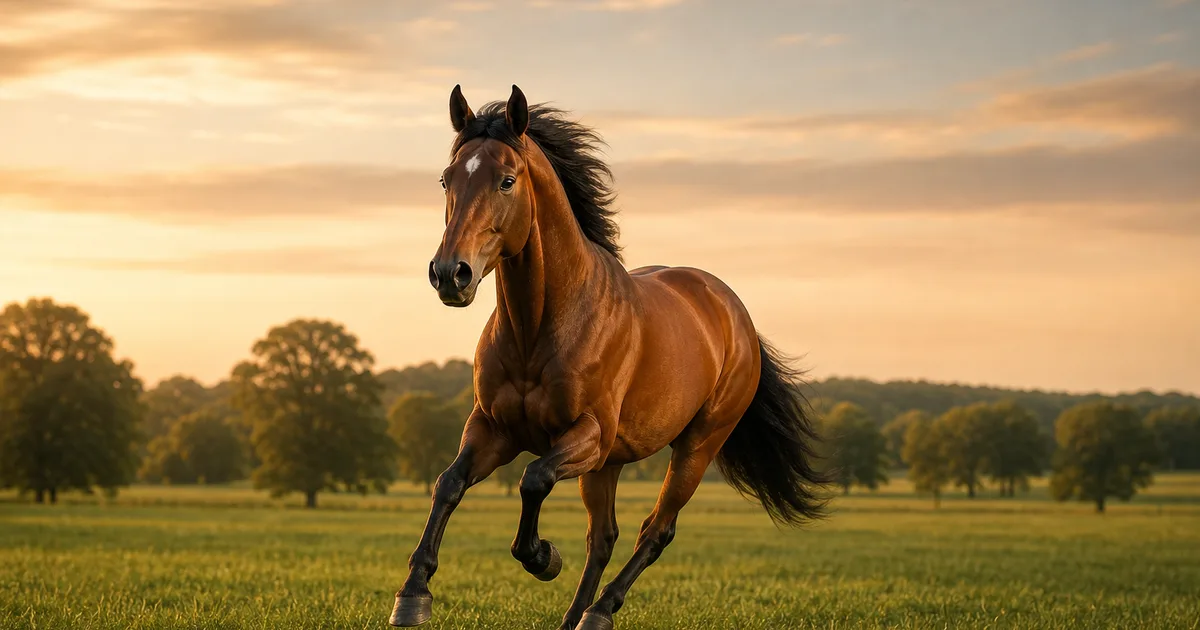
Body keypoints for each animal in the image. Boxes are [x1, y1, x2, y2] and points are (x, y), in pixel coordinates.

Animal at [390, 84, 827, 630]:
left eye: (507, 180)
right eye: (446, 179)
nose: (451, 274)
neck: (540, 329)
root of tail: (732, 310)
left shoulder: (587, 436)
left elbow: (533, 480)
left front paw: (542, 557)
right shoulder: (494, 428)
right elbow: (448, 484)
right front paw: (412, 595)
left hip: (695, 446)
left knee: (655, 531)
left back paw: (599, 611)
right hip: (611, 464)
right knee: (604, 538)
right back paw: (575, 620)